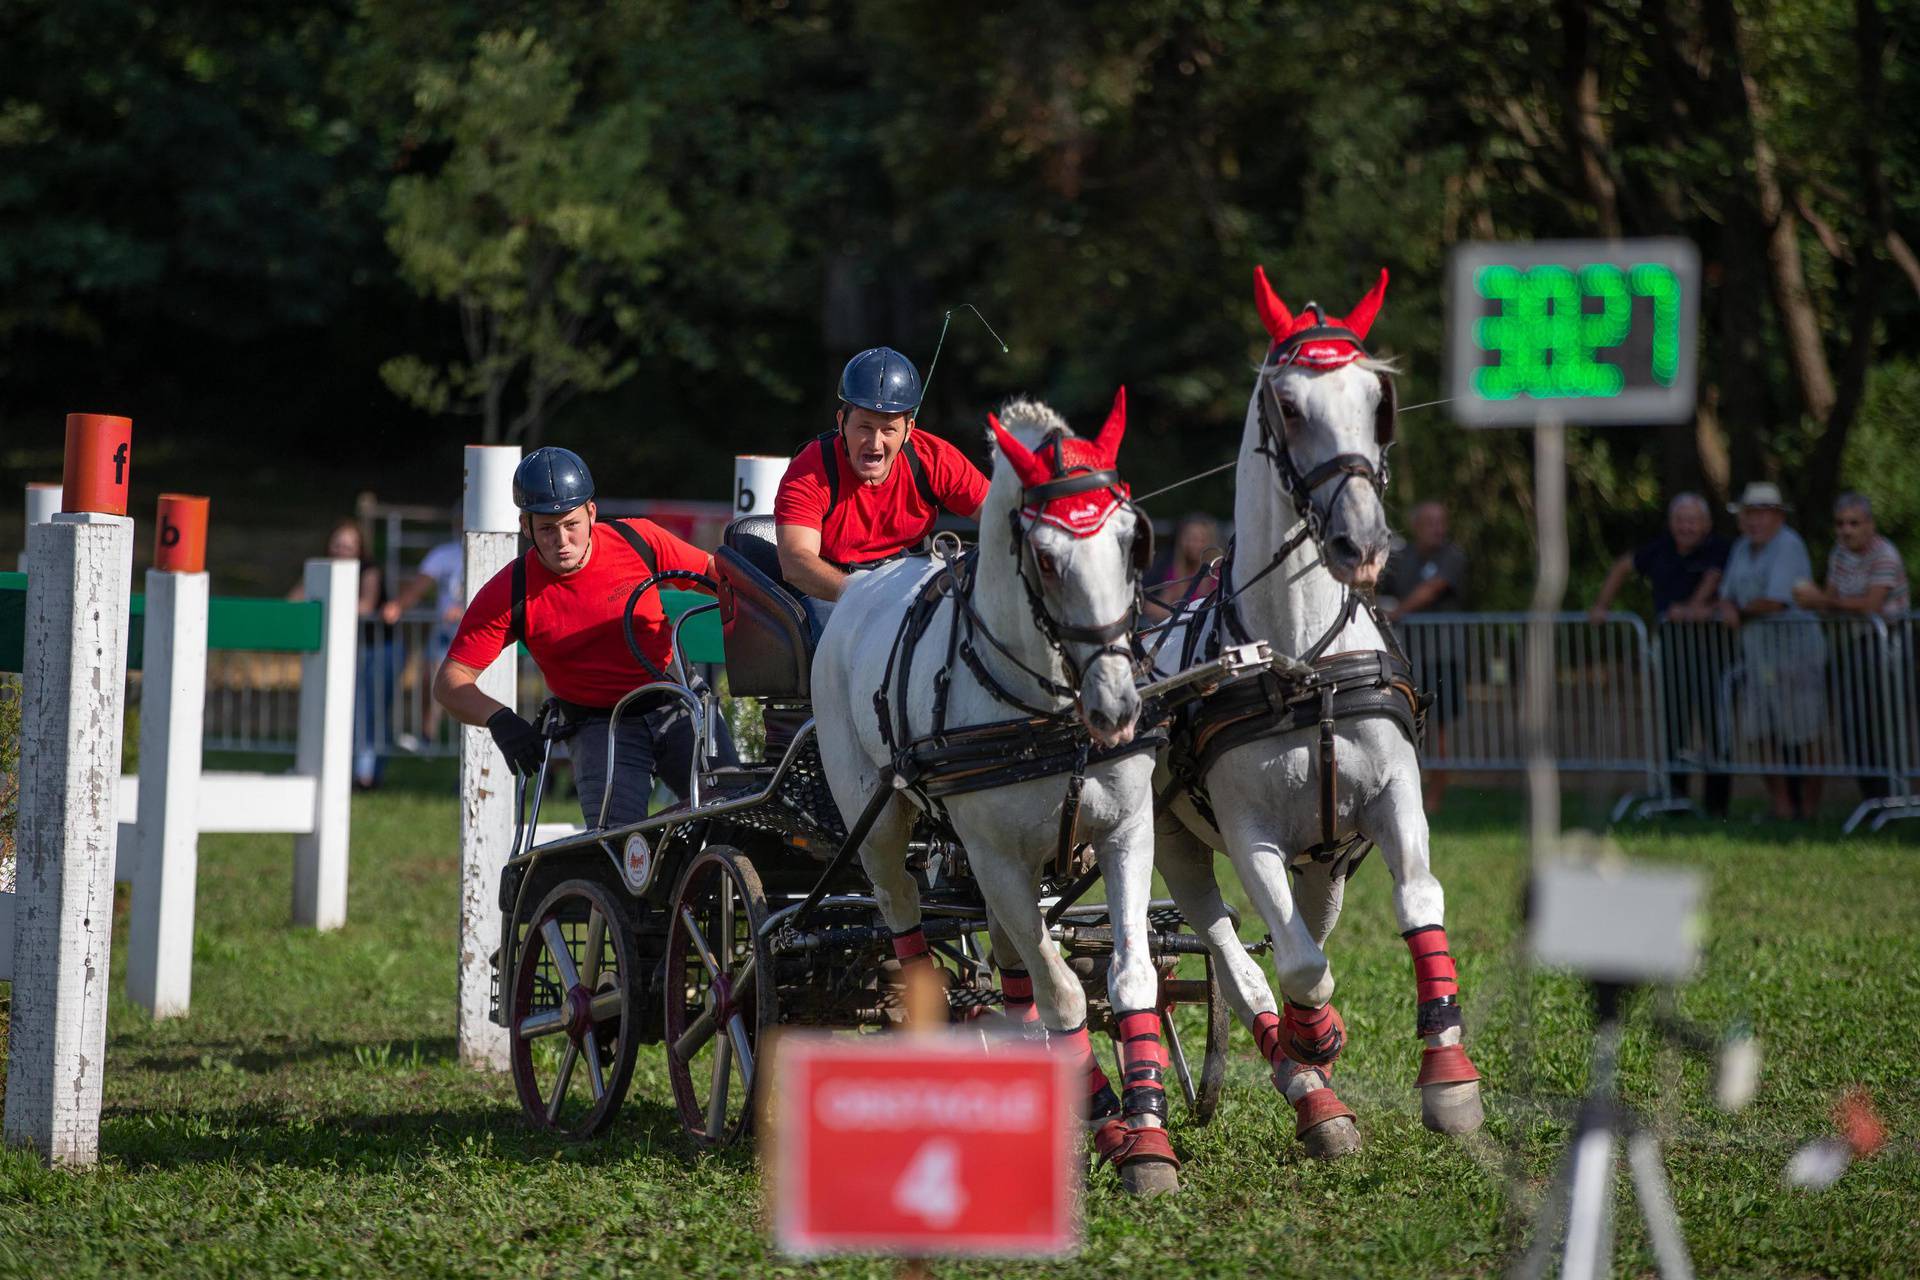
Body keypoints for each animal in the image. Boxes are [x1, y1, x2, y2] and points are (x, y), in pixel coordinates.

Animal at [1144, 268, 1489, 1159]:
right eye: (1290, 406)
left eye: (1376, 400)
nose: (1361, 543)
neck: (1300, 663)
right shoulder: (1250, 835)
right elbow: (1296, 967)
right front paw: (1312, 1047)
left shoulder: (1393, 800)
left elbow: (1420, 906)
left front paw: (1449, 1079)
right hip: (1174, 847)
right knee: (1234, 956)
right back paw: (1305, 1081)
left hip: (1325, 859)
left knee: (1304, 930)